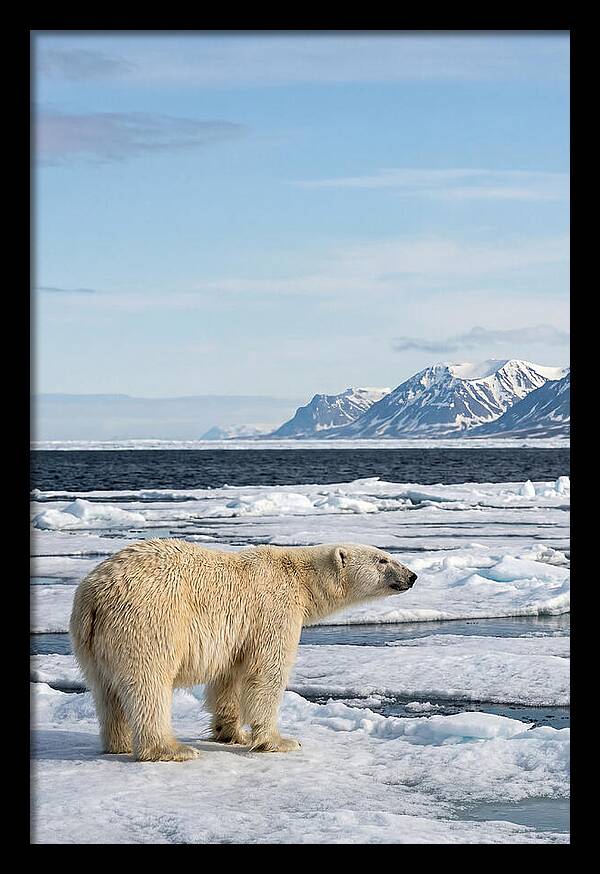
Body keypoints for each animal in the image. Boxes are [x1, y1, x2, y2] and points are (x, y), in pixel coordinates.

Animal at [69, 539, 417, 762]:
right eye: (383, 559)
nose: (412, 576)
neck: (300, 579)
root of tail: (94, 595)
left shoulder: (239, 635)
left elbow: (229, 678)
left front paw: (232, 733)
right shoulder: (273, 610)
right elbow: (267, 672)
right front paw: (280, 740)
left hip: (90, 641)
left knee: (105, 690)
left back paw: (118, 743)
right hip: (148, 621)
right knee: (149, 684)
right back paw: (171, 749)